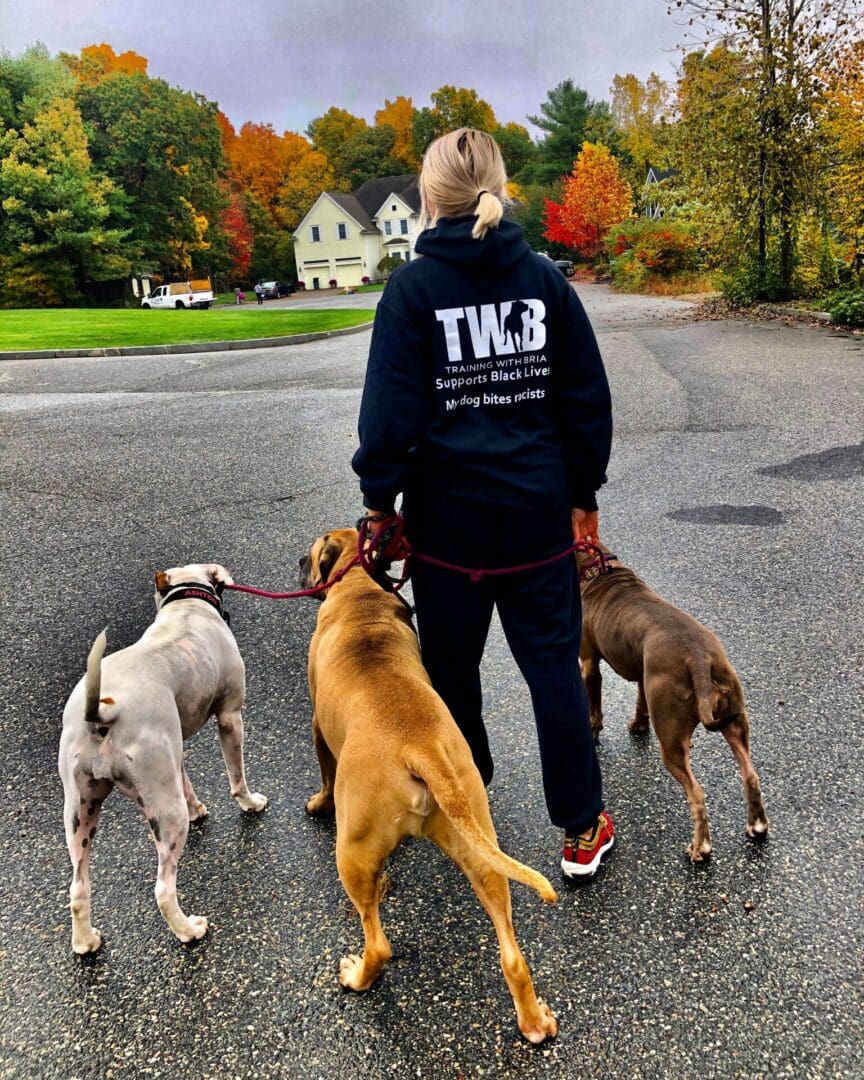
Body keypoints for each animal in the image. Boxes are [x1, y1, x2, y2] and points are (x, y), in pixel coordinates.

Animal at [58, 565, 266, 954]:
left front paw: (199, 808)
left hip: (81, 811)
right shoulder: (230, 717)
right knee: (163, 889)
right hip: (167, 817)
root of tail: (103, 715)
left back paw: (85, 942)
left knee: (78, 887)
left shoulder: (176, 746)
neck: (186, 604)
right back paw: (189, 931)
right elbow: (237, 775)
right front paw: (250, 803)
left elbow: (186, 781)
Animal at [300, 531, 561, 1045]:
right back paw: (534, 1022)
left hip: (352, 852)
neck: (360, 589)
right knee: (511, 954)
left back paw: (357, 975)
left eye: (313, 550)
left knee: (379, 942)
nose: (300, 562)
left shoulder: (319, 726)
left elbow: (323, 771)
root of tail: (418, 748)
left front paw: (318, 803)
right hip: (477, 842)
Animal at [578, 544, 764, 864]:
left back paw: (700, 848)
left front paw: (593, 732)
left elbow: (594, 708)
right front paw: (638, 725)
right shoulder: (643, 672)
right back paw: (757, 826)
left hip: (671, 738)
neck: (598, 568)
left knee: (697, 793)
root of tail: (698, 657)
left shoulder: (588, 662)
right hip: (734, 719)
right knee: (750, 775)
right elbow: (640, 699)